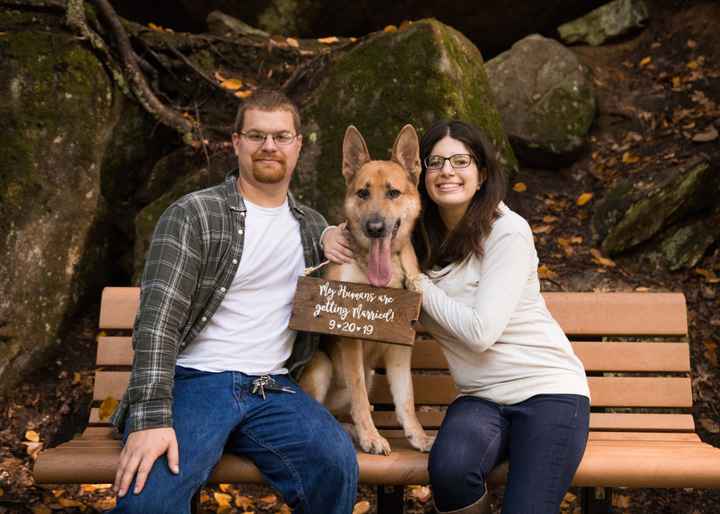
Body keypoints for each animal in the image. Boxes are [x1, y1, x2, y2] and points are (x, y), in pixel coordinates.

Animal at [300, 124, 434, 452]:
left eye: (393, 192)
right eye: (363, 193)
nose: (375, 228)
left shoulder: (400, 349)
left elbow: (406, 398)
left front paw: (417, 436)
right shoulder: (351, 342)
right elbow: (359, 395)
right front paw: (371, 436)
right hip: (322, 367)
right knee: (327, 411)